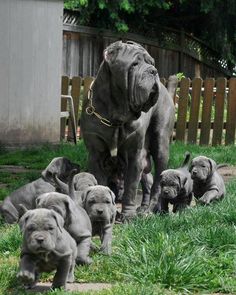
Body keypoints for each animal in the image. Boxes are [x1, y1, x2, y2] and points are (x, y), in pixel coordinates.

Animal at [80, 40, 176, 220]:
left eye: (151, 63)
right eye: (134, 64)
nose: (154, 71)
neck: (116, 115)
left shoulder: (134, 156)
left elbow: (130, 187)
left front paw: (128, 215)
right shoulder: (96, 156)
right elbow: (101, 184)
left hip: (160, 145)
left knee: (158, 183)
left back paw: (152, 209)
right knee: (148, 181)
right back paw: (143, 207)